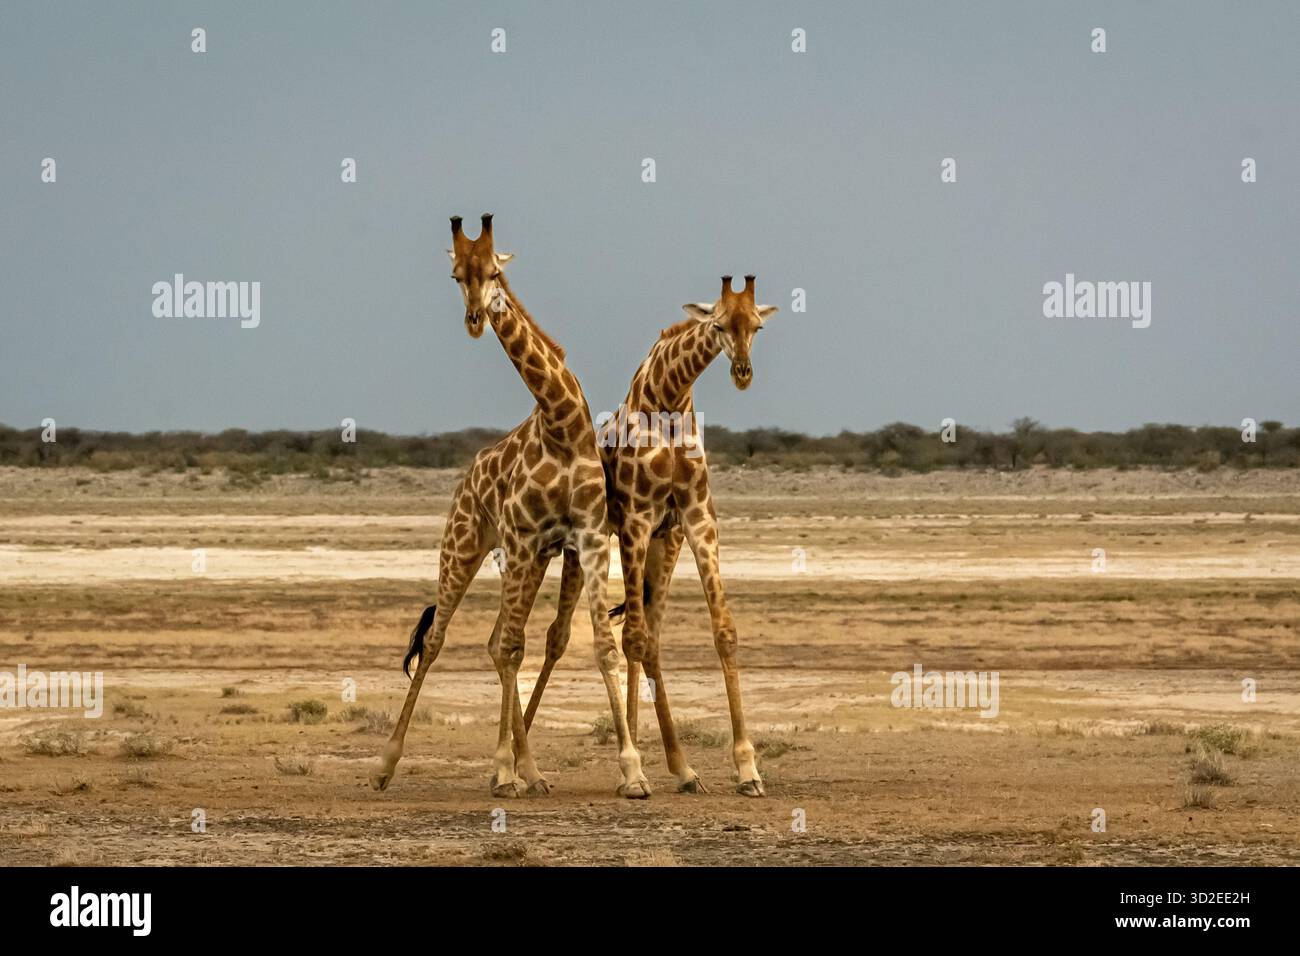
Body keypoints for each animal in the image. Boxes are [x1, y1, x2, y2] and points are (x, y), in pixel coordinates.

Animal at [370, 213, 649, 799]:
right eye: (457, 275)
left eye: (494, 271)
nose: (476, 319)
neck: (561, 424)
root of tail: (466, 479)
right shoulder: (523, 540)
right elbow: (511, 648)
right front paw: (503, 770)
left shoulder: (587, 538)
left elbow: (601, 646)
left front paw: (634, 773)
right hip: (465, 547)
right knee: (441, 640)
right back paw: (388, 765)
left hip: (527, 558)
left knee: (497, 640)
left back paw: (531, 771)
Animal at [525, 274, 778, 796]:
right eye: (718, 324)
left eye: (757, 326)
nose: (742, 372)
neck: (670, 399)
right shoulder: (637, 522)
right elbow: (632, 639)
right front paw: (633, 768)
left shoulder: (696, 519)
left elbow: (722, 632)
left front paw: (747, 769)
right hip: (582, 551)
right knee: (564, 636)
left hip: (665, 543)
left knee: (648, 638)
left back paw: (680, 767)